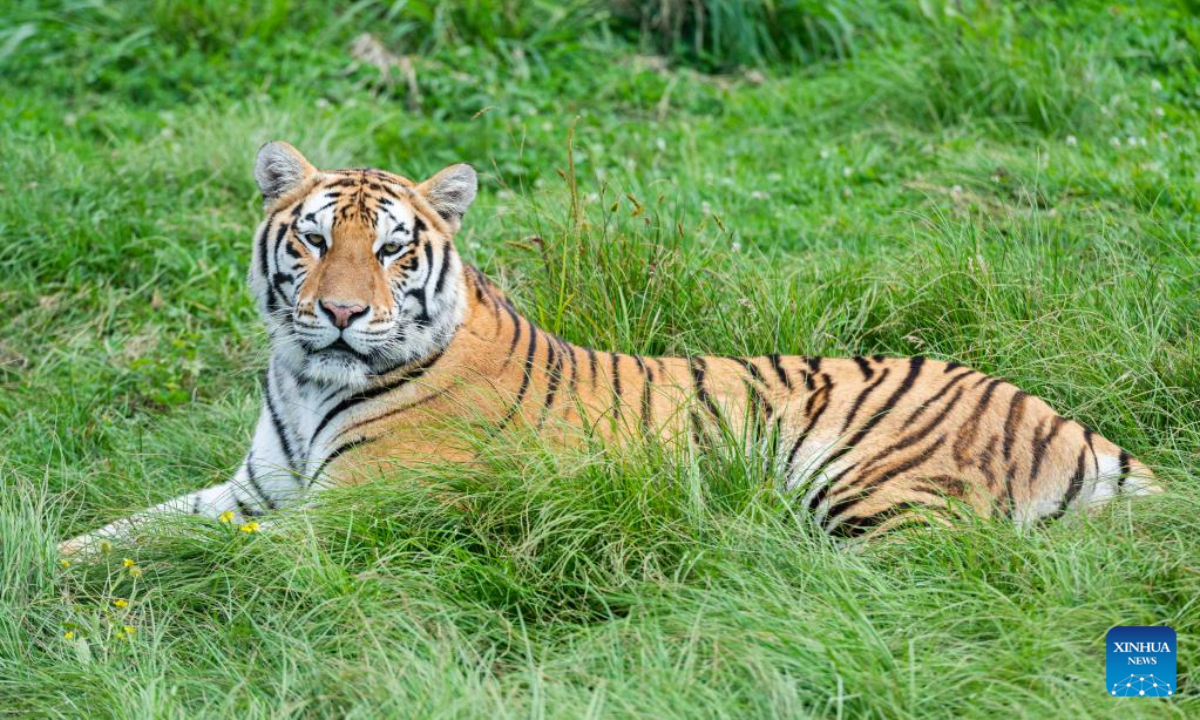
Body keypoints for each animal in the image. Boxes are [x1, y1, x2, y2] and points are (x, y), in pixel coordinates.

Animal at [58, 143, 1161, 554]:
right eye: (316, 239)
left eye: (393, 248)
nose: (335, 313)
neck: (304, 380)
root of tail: (1075, 424)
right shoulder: (255, 488)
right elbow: (124, 528)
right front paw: (45, 554)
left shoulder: (347, 512)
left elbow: (191, 551)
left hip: (873, 487)